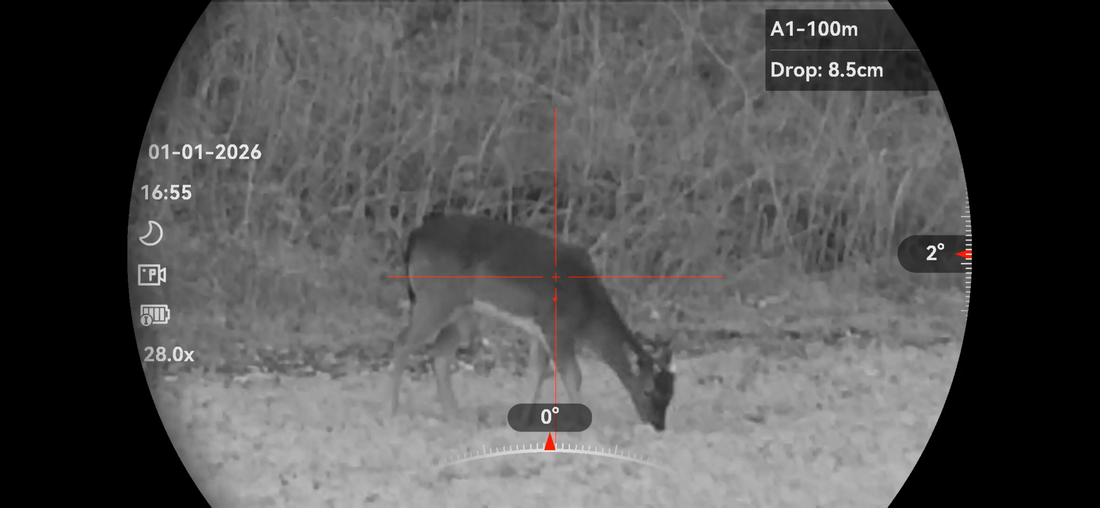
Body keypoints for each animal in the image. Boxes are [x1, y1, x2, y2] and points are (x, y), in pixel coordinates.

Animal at [387, 214, 676, 431]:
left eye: (671, 394)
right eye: (648, 390)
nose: (658, 425)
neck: (586, 311)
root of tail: (415, 236)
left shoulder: (540, 330)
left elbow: (537, 372)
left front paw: (521, 422)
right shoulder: (557, 326)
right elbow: (573, 375)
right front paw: (584, 426)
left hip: (458, 309)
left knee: (440, 354)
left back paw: (455, 416)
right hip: (435, 297)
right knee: (403, 342)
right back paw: (390, 408)